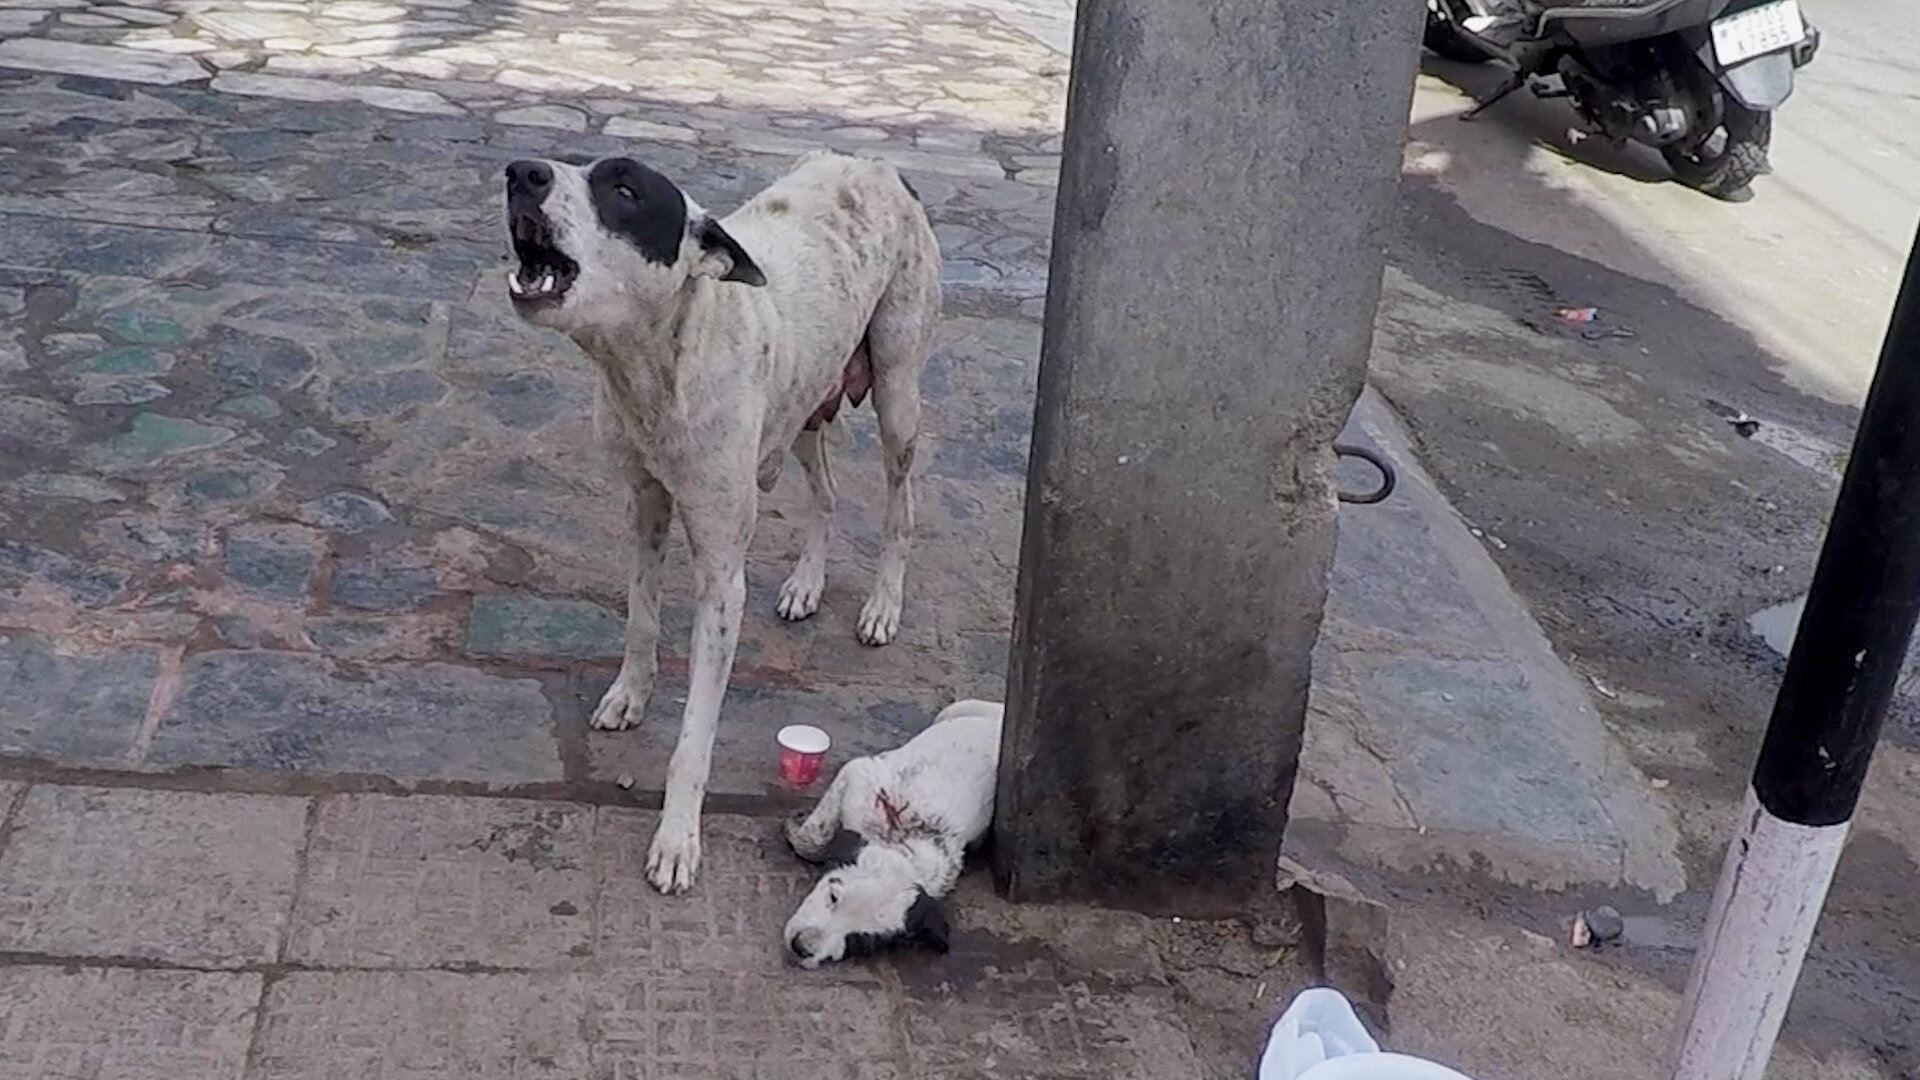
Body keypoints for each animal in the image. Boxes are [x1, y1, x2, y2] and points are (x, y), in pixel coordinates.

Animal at [502, 150, 941, 894]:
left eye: (625, 191)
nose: (520, 171)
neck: (659, 366)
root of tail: (879, 163)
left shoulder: (721, 582)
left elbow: (694, 738)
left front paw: (677, 840)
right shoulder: (645, 506)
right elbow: (641, 617)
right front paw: (630, 693)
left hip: (897, 393)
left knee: (901, 505)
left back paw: (883, 605)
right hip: (800, 410)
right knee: (825, 492)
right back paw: (806, 583)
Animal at [783, 698, 1003, 968]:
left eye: (859, 942)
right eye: (833, 897)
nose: (801, 947)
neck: (904, 841)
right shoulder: (860, 775)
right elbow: (814, 835)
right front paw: (801, 835)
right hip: (957, 708)